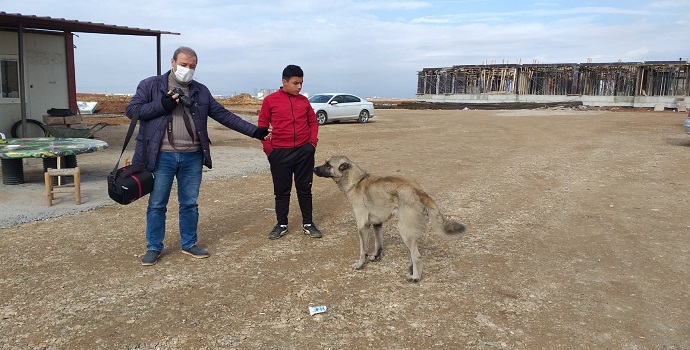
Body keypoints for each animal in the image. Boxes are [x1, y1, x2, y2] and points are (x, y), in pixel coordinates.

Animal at [314, 156, 464, 282]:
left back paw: (415, 277)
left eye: (328, 165)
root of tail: (418, 190)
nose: (314, 168)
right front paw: (376, 257)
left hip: (404, 230)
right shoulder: (377, 224)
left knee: (417, 256)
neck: (356, 182)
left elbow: (363, 250)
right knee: (411, 254)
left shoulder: (362, 226)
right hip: (406, 232)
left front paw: (360, 264)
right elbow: (378, 243)